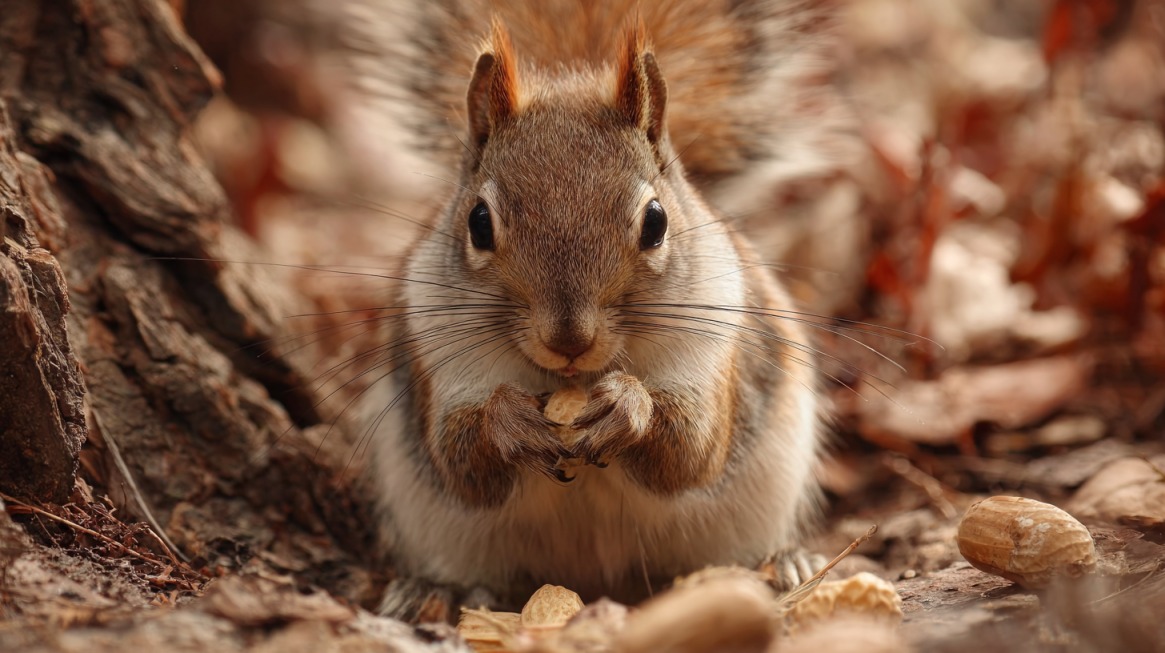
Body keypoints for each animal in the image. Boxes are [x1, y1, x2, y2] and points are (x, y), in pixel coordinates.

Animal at [339, 0, 837, 621]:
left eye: (656, 222)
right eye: (478, 222)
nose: (569, 340)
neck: (567, 380)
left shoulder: (712, 346)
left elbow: (693, 453)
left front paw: (627, 406)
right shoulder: (438, 352)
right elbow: (459, 463)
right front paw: (510, 419)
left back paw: (786, 563)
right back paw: (433, 591)